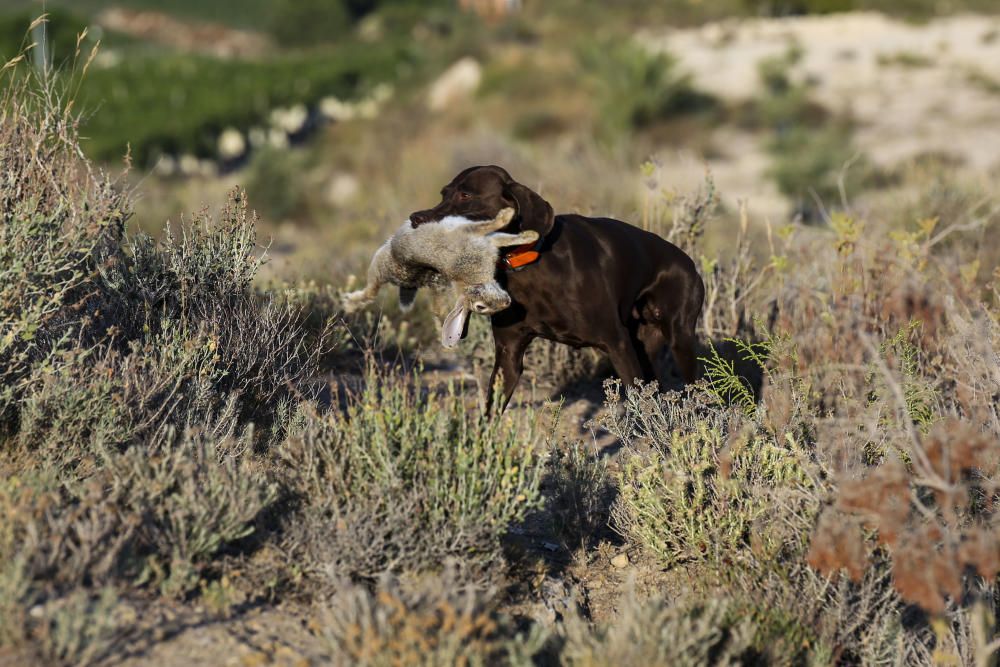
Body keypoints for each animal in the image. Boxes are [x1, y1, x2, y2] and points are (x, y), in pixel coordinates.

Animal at [410, 164, 708, 410]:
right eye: (443, 194)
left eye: (465, 195)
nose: (415, 219)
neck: (529, 266)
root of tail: (689, 263)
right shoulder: (508, 355)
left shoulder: (618, 344)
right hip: (645, 346)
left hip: (679, 340)